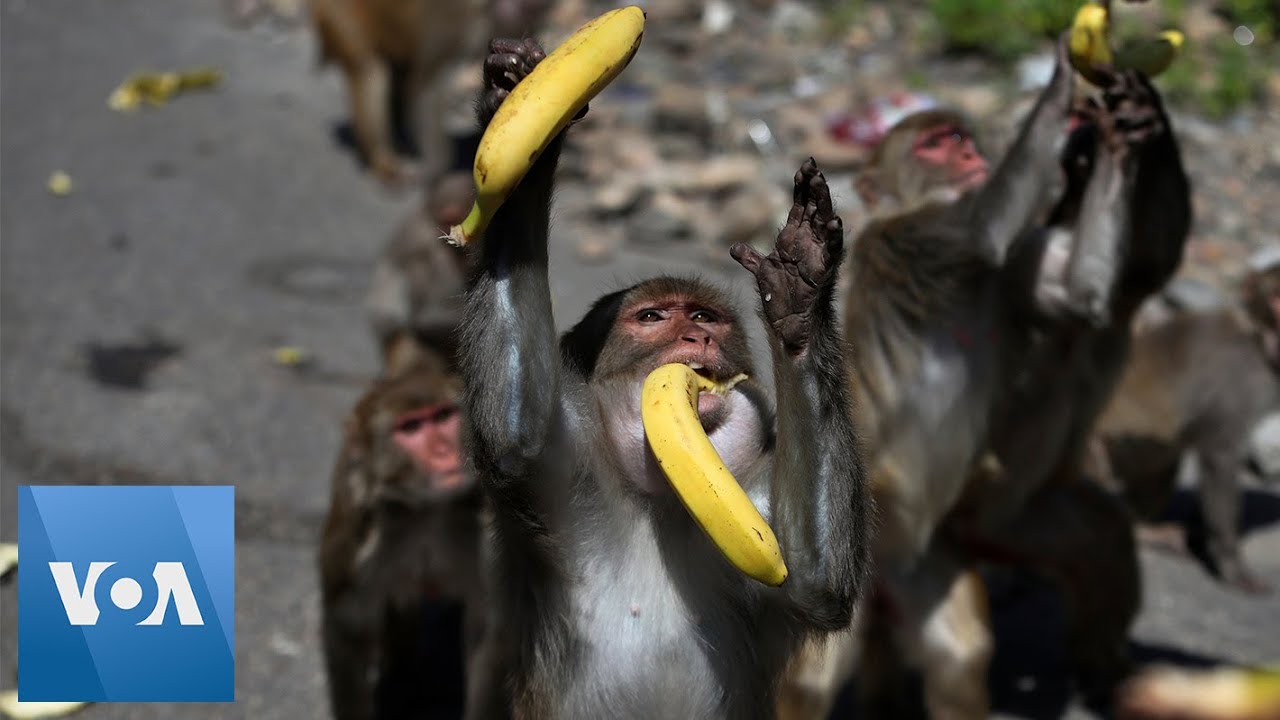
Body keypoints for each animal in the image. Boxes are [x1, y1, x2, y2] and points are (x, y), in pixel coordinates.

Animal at [318, 334, 498, 720]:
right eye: (411, 428)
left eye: (443, 416)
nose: (446, 453)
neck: (427, 509)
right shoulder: (361, 541)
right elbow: (348, 631)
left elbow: (487, 633)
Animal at [458, 38, 870, 719]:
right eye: (652, 318)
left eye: (704, 317)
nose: (695, 338)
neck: (666, 499)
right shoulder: (564, 472)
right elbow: (516, 434)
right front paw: (524, 123)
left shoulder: (752, 510)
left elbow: (815, 580)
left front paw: (800, 296)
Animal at [1086, 260, 1280, 594]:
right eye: (1275, 300)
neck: (1257, 340)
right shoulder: (1236, 382)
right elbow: (1220, 457)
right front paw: (1231, 564)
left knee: (1164, 463)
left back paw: (1143, 531)